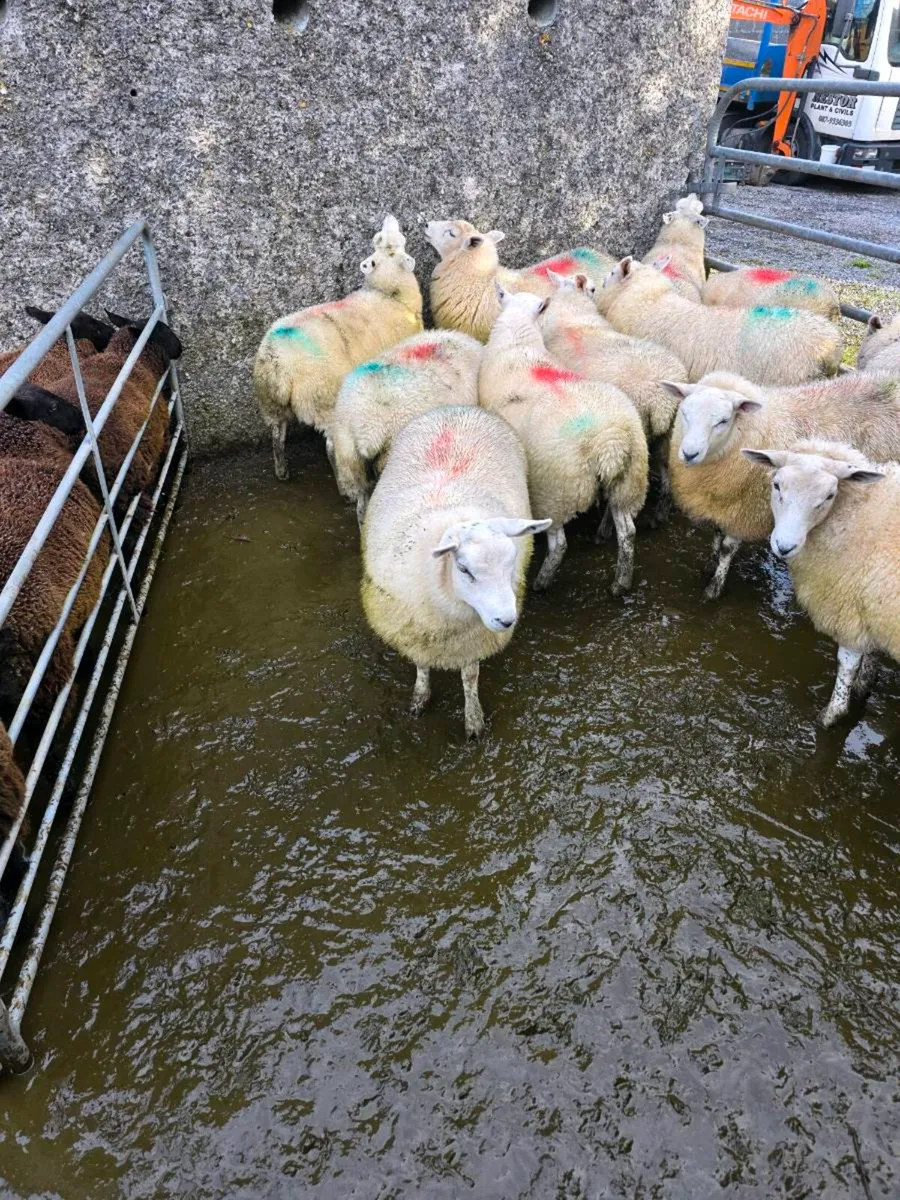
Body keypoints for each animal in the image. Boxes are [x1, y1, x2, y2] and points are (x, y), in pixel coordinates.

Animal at [254, 216, 424, 481]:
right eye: (391, 245)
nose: (389, 217)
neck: (389, 294)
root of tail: (275, 362)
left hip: (271, 405)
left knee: (277, 436)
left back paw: (282, 472)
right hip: (324, 401)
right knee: (332, 446)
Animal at [360, 405, 550, 738]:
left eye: (511, 561)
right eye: (464, 568)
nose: (506, 620)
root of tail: (459, 408)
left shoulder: (474, 638)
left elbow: (470, 676)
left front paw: (473, 720)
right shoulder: (414, 628)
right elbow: (422, 665)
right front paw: (420, 697)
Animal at [479, 288, 649, 594]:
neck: (518, 343)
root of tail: (609, 440)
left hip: (555, 491)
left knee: (559, 545)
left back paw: (542, 582)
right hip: (629, 481)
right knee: (628, 532)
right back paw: (621, 583)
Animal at [666, 370, 900, 599]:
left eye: (723, 421)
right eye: (684, 413)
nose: (689, 453)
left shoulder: (744, 512)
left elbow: (726, 549)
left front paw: (714, 587)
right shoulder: (721, 504)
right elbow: (716, 533)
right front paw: (709, 564)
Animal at [743, 441, 898, 726]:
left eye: (829, 496)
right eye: (776, 485)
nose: (784, 546)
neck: (857, 515)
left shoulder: (847, 607)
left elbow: (847, 663)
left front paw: (830, 716)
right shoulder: (872, 606)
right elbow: (870, 654)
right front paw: (865, 683)